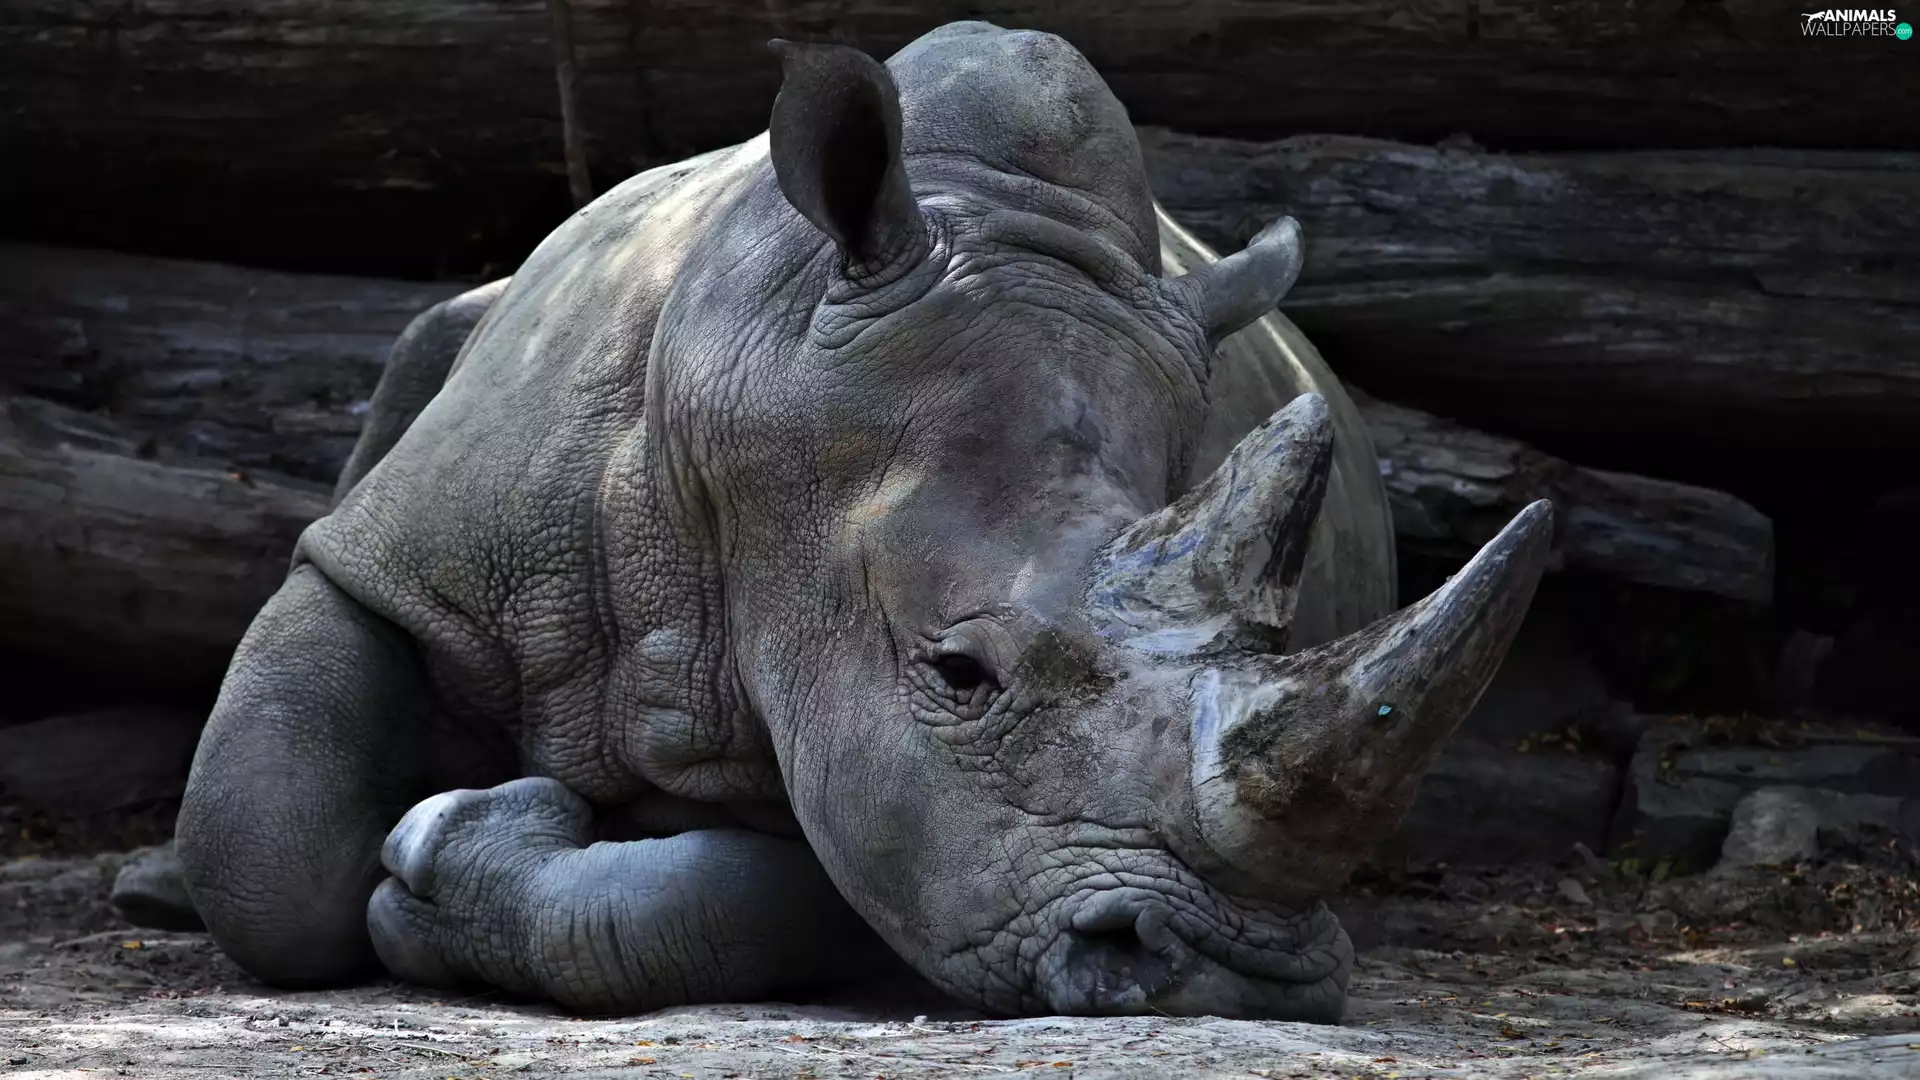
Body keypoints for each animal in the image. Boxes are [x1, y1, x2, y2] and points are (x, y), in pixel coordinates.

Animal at [168, 21, 1551, 1022]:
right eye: (960, 672)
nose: (1232, 974)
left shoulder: (900, 789)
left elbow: (800, 885)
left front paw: (456, 853)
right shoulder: (413, 558)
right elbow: (259, 840)